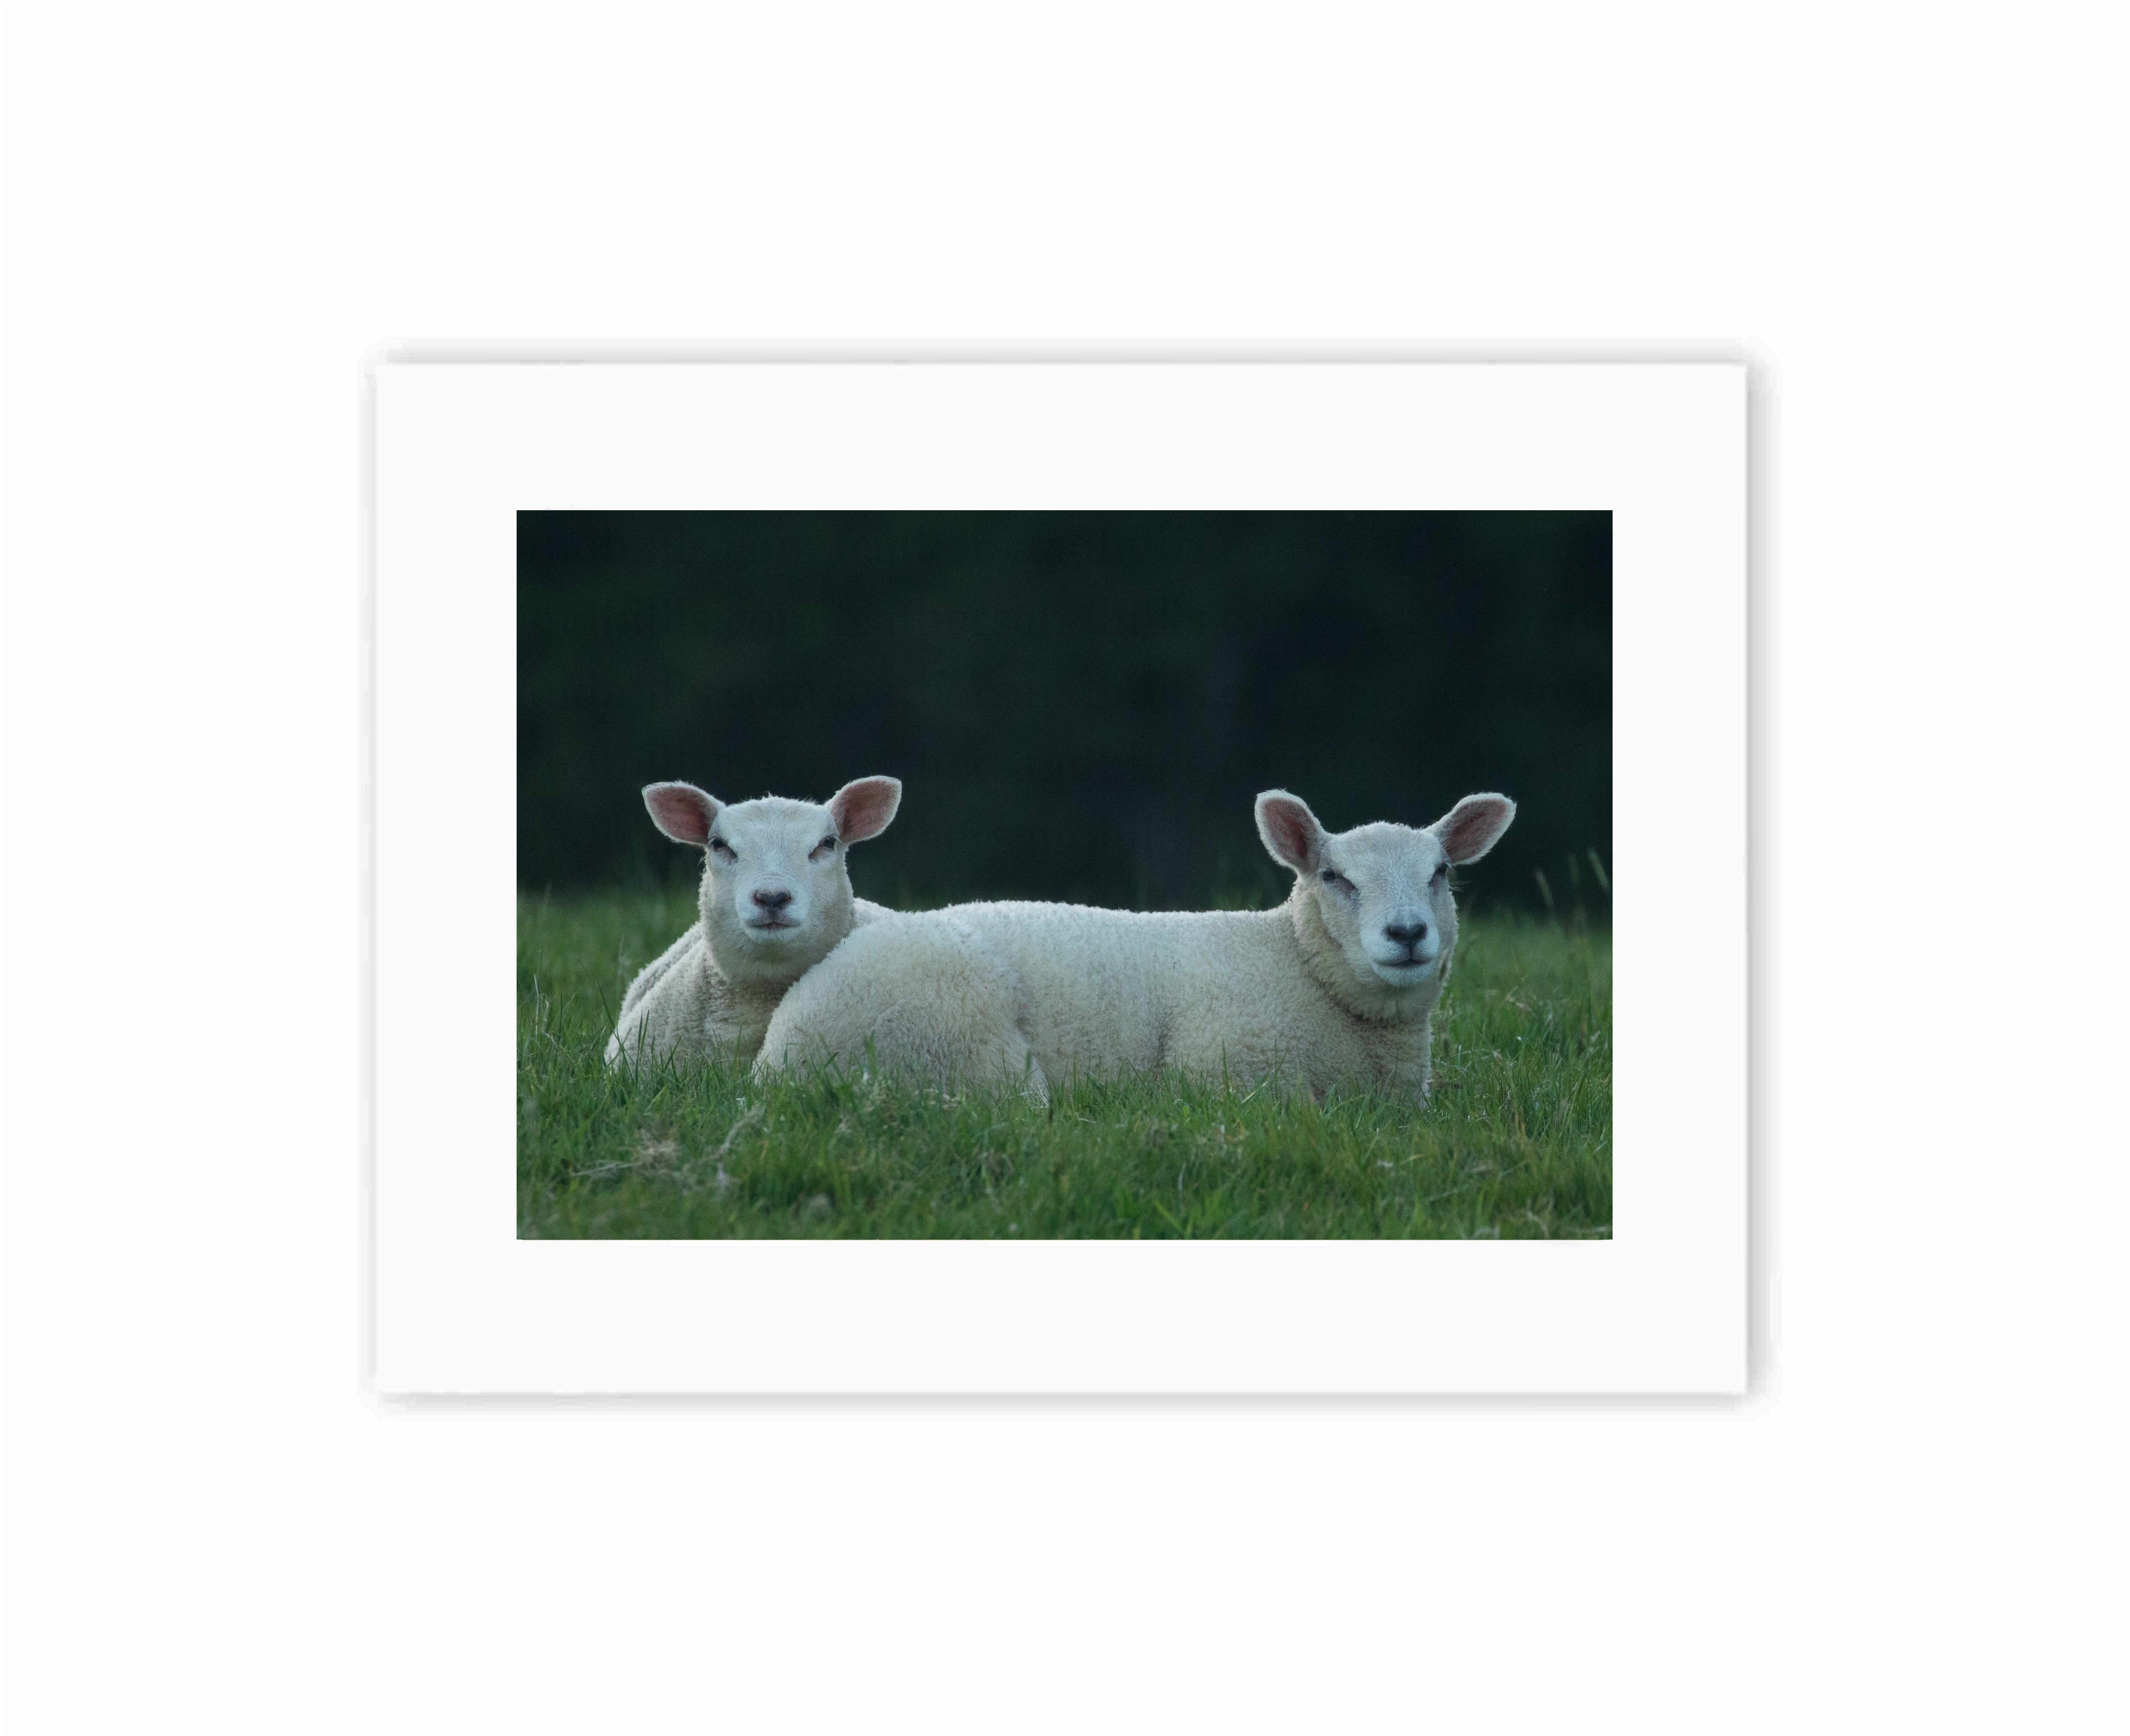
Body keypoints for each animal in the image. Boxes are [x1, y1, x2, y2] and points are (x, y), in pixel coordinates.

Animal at [753, 789, 1515, 1103]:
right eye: (1334, 878)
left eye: (1439, 872)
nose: (1407, 933)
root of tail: (778, 1055)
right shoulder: (1230, 1070)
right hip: (962, 1042)